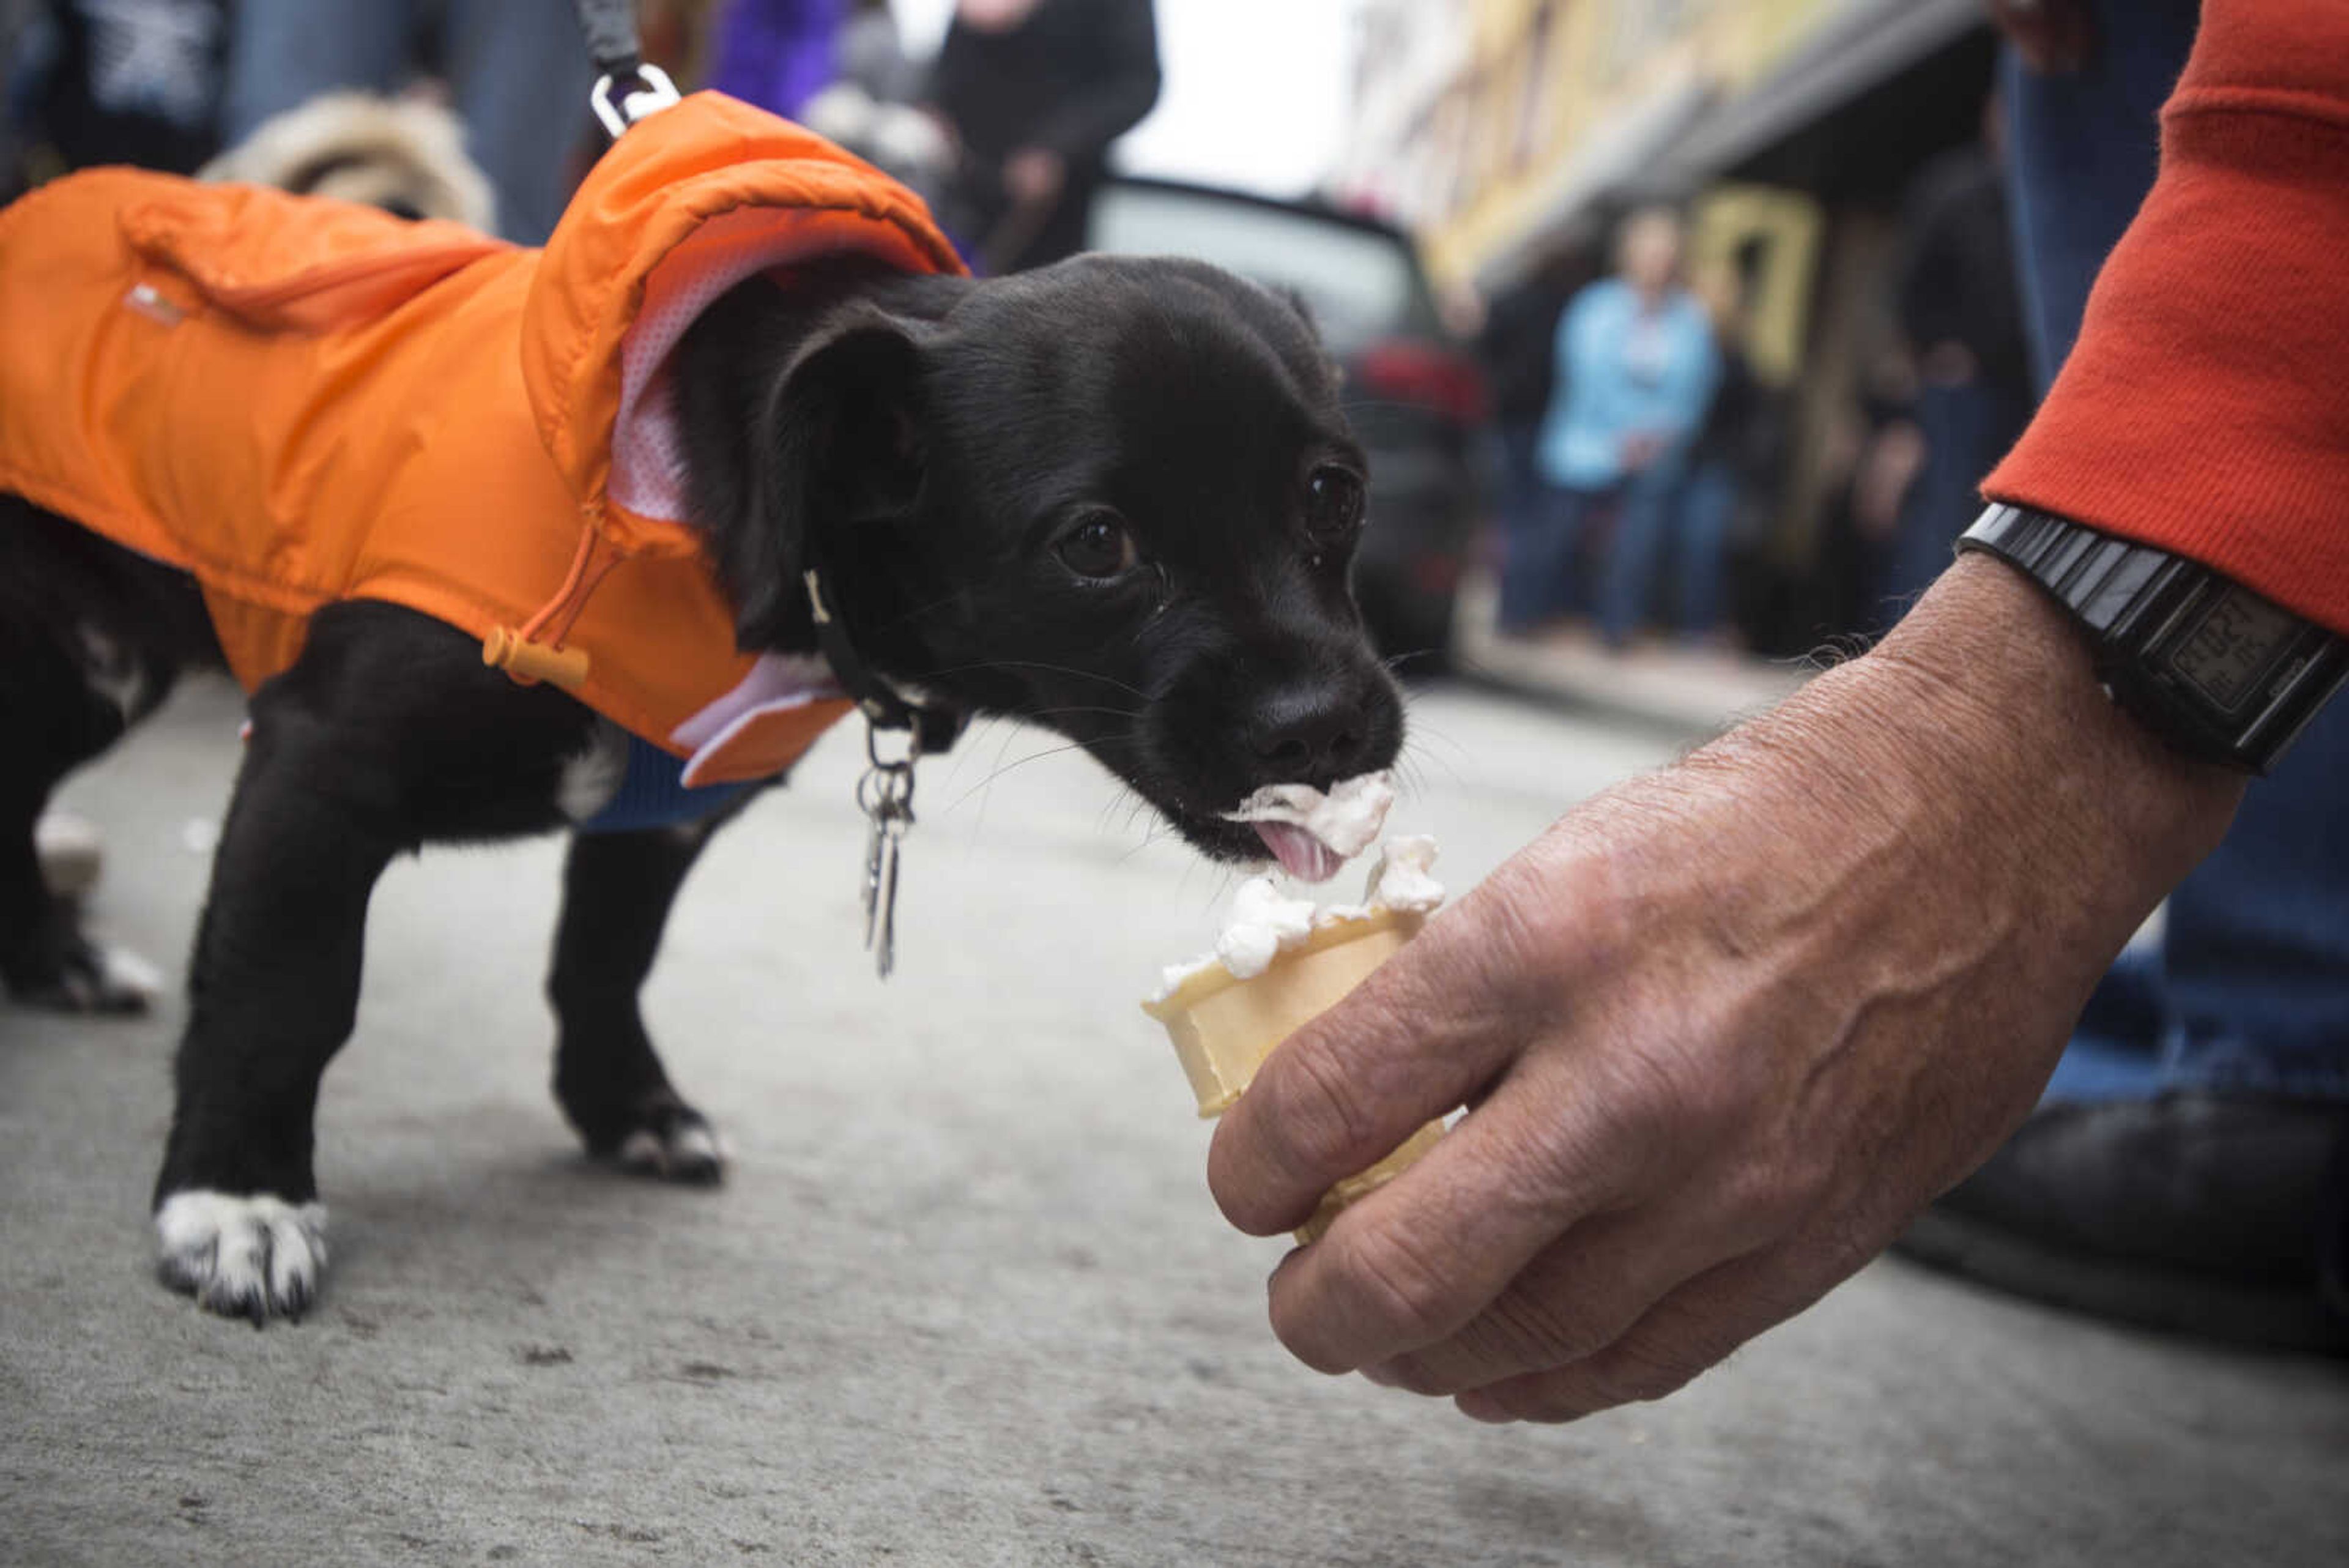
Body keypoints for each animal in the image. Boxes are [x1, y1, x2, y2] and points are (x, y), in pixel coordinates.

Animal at [0, 255, 1400, 1326]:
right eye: (1098, 544)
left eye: (1336, 493)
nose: (1330, 724)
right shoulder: (318, 764)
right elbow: (282, 994)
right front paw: (236, 1200)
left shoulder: (660, 820)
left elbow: (604, 960)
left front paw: (626, 1105)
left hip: (89, 674)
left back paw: (53, 959)